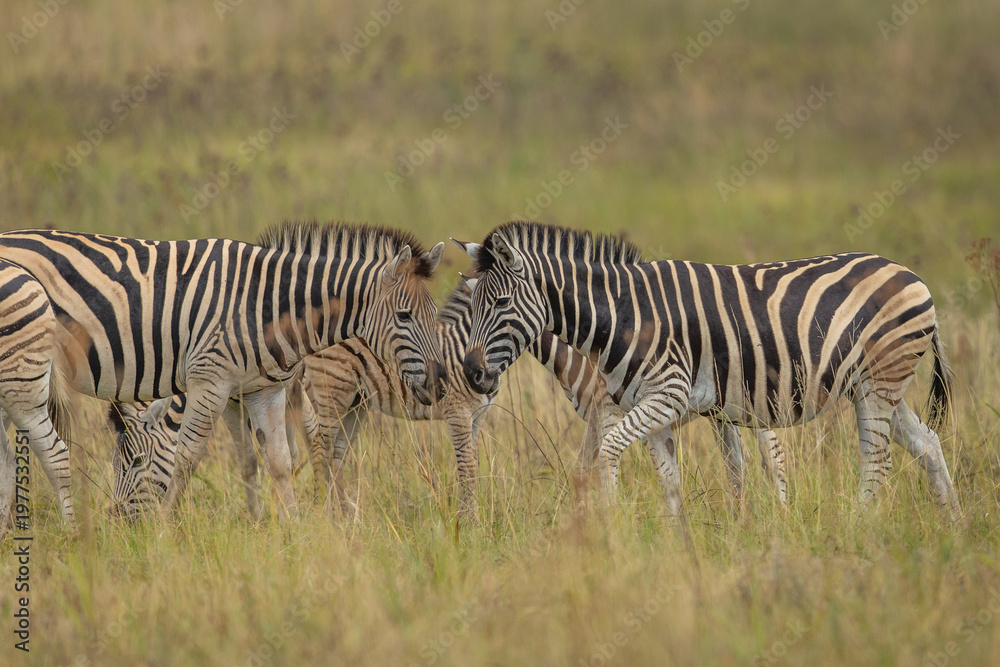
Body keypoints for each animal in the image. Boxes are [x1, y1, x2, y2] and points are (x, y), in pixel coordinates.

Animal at [108, 281, 789, 520]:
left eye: (130, 462)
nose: (119, 525)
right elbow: (239, 460)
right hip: (338, 393)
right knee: (326, 453)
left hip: (346, 397)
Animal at [457, 221, 960, 519]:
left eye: (500, 303)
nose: (472, 375)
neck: (623, 315)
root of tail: (910, 273)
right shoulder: (652, 406)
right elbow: (670, 480)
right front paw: (676, 546)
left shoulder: (665, 395)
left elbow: (605, 450)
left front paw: (609, 525)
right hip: (877, 385)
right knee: (928, 445)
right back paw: (951, 526)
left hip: (880, 380)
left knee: (877, 459)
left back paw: (858, 528)